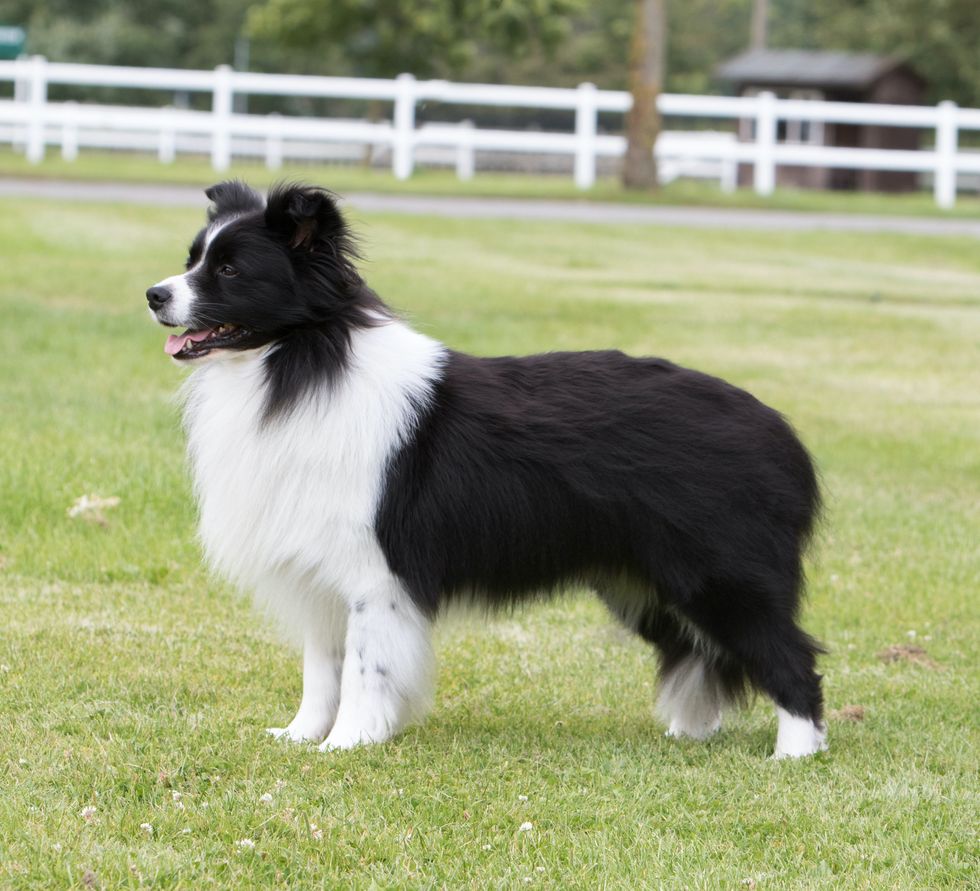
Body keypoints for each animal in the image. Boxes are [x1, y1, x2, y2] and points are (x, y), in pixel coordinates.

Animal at [145, 183, 828, 760]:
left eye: (230, 270)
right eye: (193, 259)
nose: (154, 295)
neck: (300, 360)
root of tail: (778, 431)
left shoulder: (373, 577)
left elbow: (366, 668)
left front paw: (348, 744)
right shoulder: (319, 573)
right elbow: (321, 670)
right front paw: (301, 736)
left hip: (721, 576)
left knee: (791, 656)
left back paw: (795, 753)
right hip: (644, 584)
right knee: (702, 652)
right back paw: (690, 735)